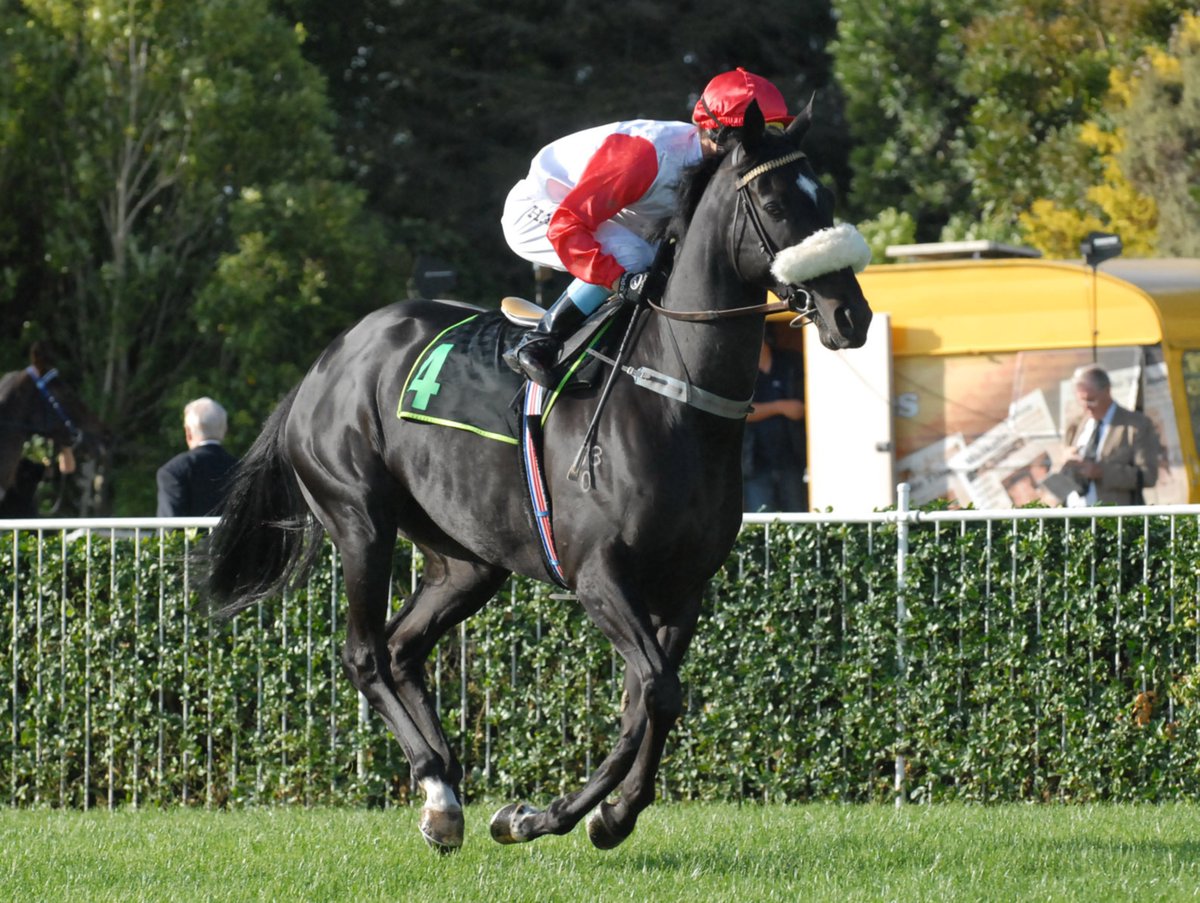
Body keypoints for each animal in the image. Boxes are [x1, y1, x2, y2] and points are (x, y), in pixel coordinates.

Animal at [201, 102, 868, 850]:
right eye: (776, 202)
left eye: (826, 198)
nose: (851, 315)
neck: (674, 395)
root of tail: (324, 364)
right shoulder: (598, 575)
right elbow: (657, 691)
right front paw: (541, 817)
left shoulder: (683, 588)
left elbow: (650, 698)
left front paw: (607, 815)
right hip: (359, 520)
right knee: (365, 653)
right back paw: (439, 784)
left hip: (467, 559)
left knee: (403, 648)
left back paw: (443, 795)